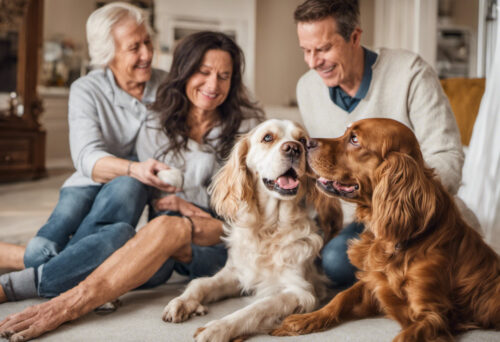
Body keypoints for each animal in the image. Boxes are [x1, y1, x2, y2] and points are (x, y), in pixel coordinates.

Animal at [162, 119, 342, 342]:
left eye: (302, 140)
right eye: (267, 137)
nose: (293, 148)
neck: (270, 228)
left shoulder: (300, 291)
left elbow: (257, 308)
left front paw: (217, 328)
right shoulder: (236, 273)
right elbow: (200, 283)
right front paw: (182, 302)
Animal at [274, 118, 500, 342]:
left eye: (354, 139)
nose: (305, 143)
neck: (402, 242)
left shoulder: (435, 315)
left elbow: (405, 336)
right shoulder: (373, 284)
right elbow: (340, 297)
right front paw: (304, 320)